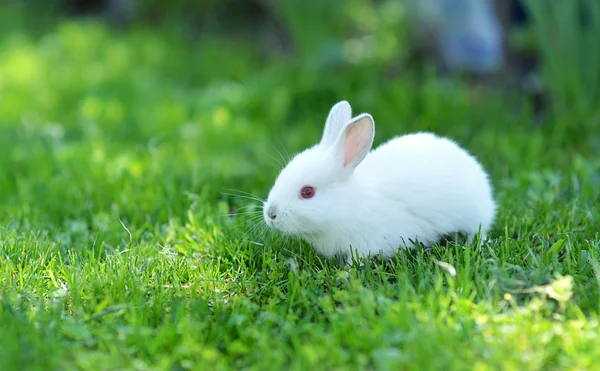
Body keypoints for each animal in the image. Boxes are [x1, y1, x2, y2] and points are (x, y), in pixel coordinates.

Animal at [262, 100, 496, 266]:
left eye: (307, 192)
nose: (271, 214)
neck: (351, 205)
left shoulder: (365, 244)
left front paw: (344, 274)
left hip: (475, 219)